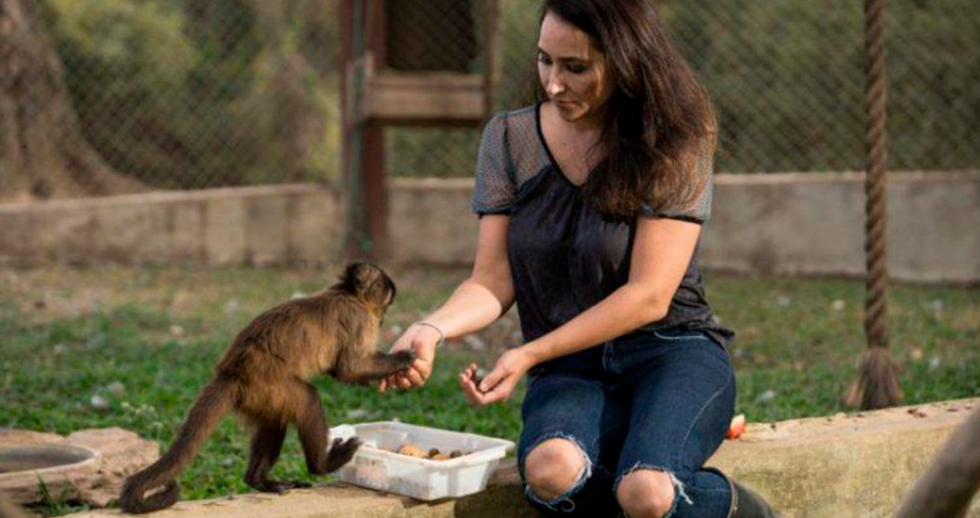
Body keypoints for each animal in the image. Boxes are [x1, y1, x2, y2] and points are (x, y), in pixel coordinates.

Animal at [120, 264, 412, 516]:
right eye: (387, 300)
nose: (383, 318)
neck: (347, 294)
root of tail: (231, 373)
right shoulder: (357, 319)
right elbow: (348, 368)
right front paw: (404, 359)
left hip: (260, 397)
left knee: (274, 422)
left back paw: (259, 481)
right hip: (268, 385)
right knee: (308, 399)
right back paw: (321, 465)